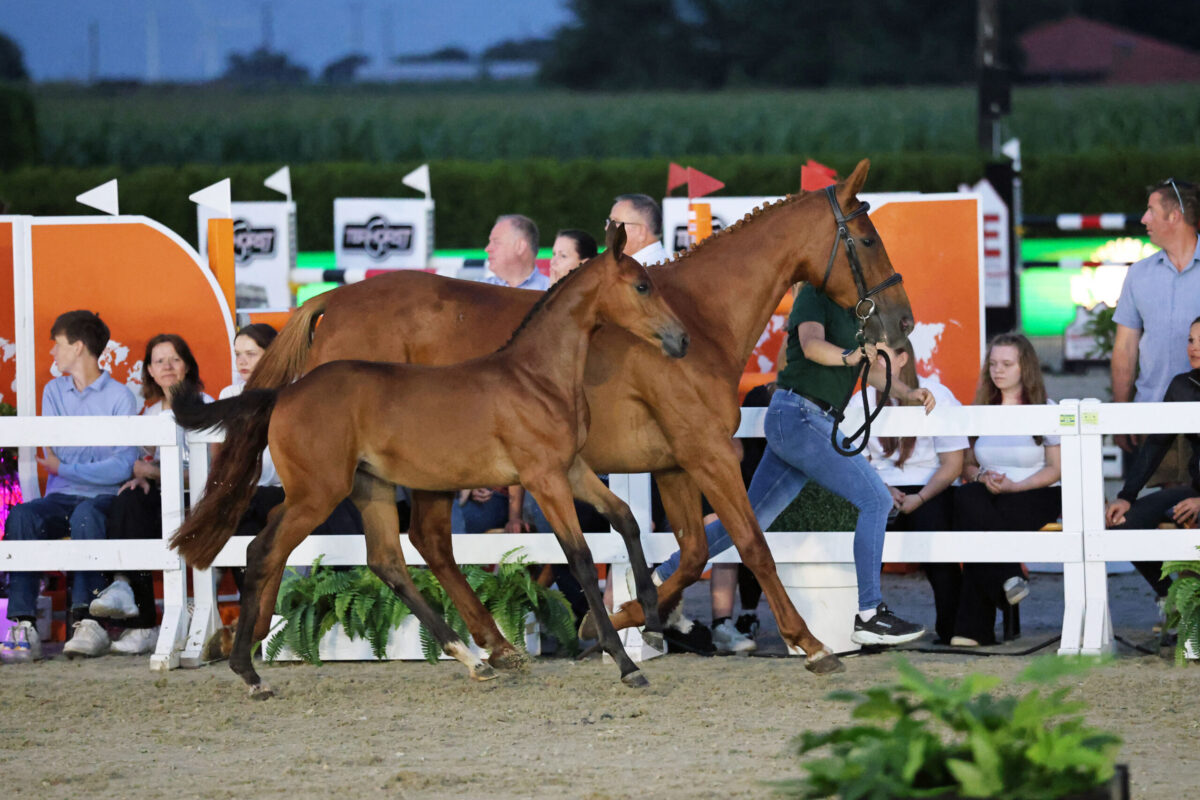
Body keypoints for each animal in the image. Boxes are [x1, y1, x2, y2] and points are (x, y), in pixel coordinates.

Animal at [170, 224, 689, 697]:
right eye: (642, 285)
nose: (681, 339)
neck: (535, 376)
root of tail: (285, 393)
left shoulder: (573, 470)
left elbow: (626, 519)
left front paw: (652, 620)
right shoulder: (545, 478)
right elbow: (580, 557)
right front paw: (625, 661)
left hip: (370, 489)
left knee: (387, 562)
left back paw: (472, 658)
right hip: (316, 494)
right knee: (263, 551)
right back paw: (249, 670)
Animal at [202, 158, 911, 676]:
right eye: (867, 237)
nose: (901, 326)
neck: (696, 317)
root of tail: (329, 303)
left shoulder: (675, 464)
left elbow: (686, 553)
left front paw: (618, 620)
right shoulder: (706, 453)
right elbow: (751, 545)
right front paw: (807, 644)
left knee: (422, 544)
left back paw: (491, 647)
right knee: (344, 540)